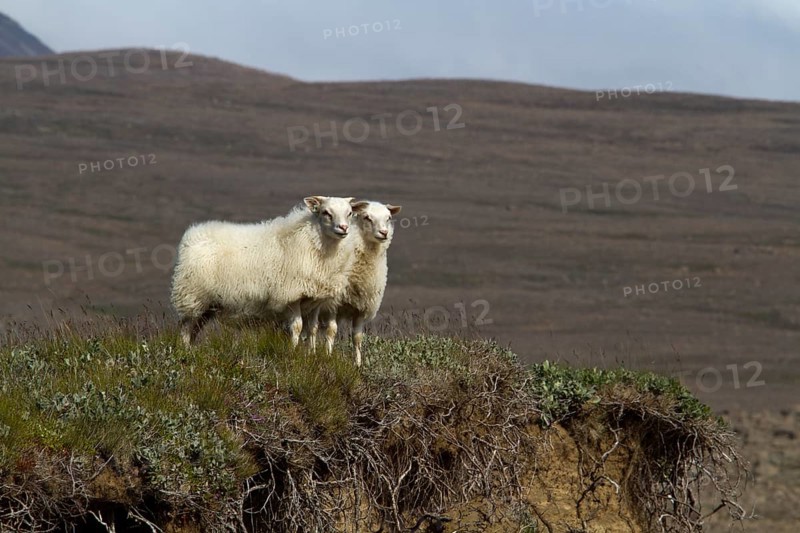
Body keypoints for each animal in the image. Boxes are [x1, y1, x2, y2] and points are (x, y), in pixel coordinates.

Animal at [170, 196, 364, 347]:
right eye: (326, 212)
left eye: (349, 213)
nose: (343, 228)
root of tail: (194, 233)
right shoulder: (291, 294)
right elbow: (297, 327)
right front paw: (293, 353)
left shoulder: (315, 297)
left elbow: (313, 329)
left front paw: (311, 354)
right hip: (192, 294)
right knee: (186, 327)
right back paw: (184, 350)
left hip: (209, 302)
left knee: (195, 328)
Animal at [317, 200, 402, 366]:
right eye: (367, 217)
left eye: (388, 217)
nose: (384, 233)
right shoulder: (332, 304)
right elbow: (331, 331)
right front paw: (328, 357)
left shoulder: (362, 307)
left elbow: (357, 337)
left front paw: (357, 364)